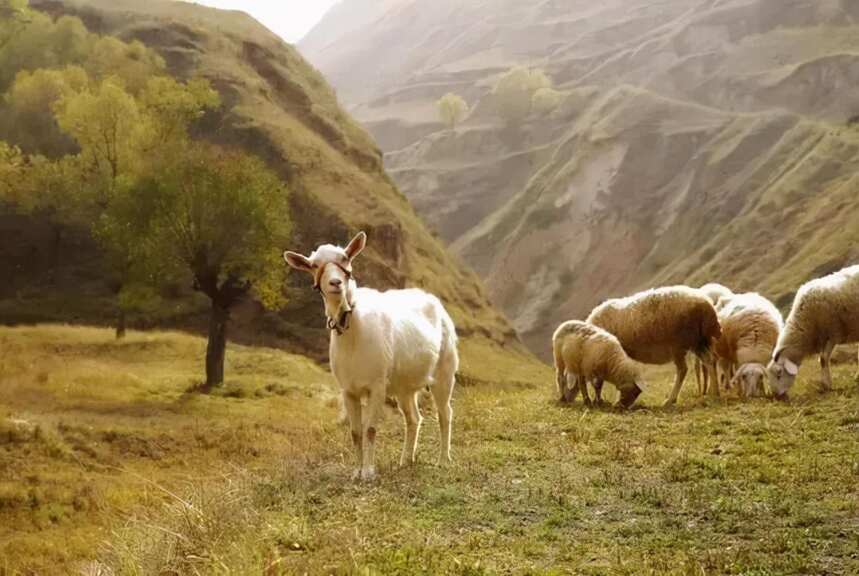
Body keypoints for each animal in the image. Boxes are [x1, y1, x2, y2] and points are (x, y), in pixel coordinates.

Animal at [282, 232, 460, 480]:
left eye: (345, 258)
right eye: (314, 265)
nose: (335, 283)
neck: (354, 331)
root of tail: (434, 301)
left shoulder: (377, 386)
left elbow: (371, 430)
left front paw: (369, 472)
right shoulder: (348, 390)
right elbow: (356, 432)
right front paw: (356, 471)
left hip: (445, 370)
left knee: (445, 413)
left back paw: (443, 459)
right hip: (403, 386)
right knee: (413, 418)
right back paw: (406, 460)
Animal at [588, 286, 724, 404]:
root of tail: (707, 304)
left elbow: (600, 381)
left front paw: (600, 400)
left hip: (679, 344)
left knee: (683, 370)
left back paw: (671, 399)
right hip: (699, 342)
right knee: (710, 360)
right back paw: (714, 392)